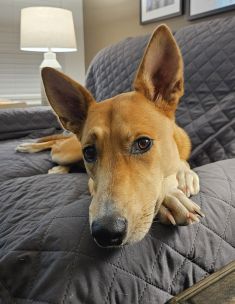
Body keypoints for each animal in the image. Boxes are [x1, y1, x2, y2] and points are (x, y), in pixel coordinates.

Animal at [16, 25, 204, 247]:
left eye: (143, 143)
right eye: (89, 152)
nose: (106, 233)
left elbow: (181, 165)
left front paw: (183, 176)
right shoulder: (93, 186)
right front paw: (171, 197)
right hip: (65, 152)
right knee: (53, 145)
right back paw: (31, 148)